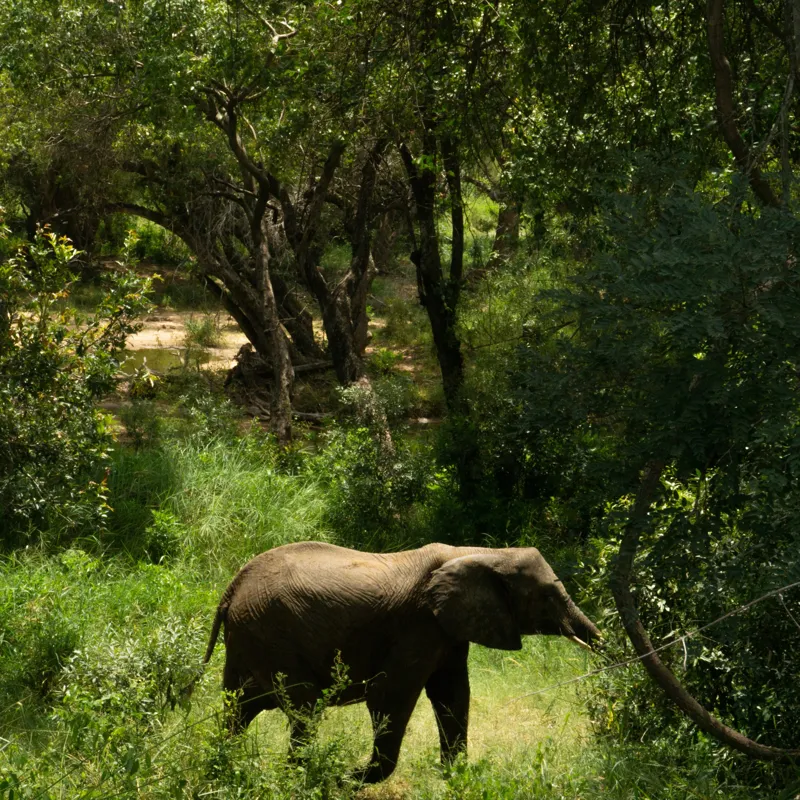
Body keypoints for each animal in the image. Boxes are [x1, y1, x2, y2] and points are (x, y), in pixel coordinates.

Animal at [198, 541, 600, 784]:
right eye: (548, 596)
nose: (598, 644)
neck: (479, 552)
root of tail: (232, 587)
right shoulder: (419, 623)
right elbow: (390, 693)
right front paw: (352, 778)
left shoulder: (448, 628)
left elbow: (452, 694)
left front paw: (455, 778)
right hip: (270, 633)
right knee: (304, 706)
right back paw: (303, 777)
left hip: (250, 637)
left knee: (238, 707)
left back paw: (223, 768)